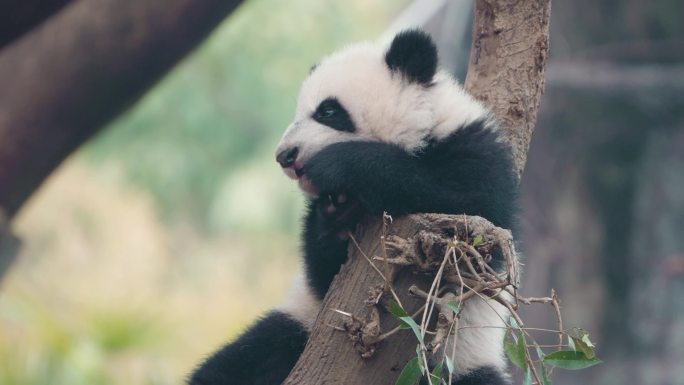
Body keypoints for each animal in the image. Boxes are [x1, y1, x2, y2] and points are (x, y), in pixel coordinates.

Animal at [190, 29, 516, 384]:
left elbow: (466, 207)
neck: (425, 126)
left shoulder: (476, 154)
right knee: (242, 361)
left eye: (328, 112)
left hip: (458, 360)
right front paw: (337, 212)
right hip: (297, 327)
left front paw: (336, 166)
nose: (285, 155)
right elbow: (325, 273)